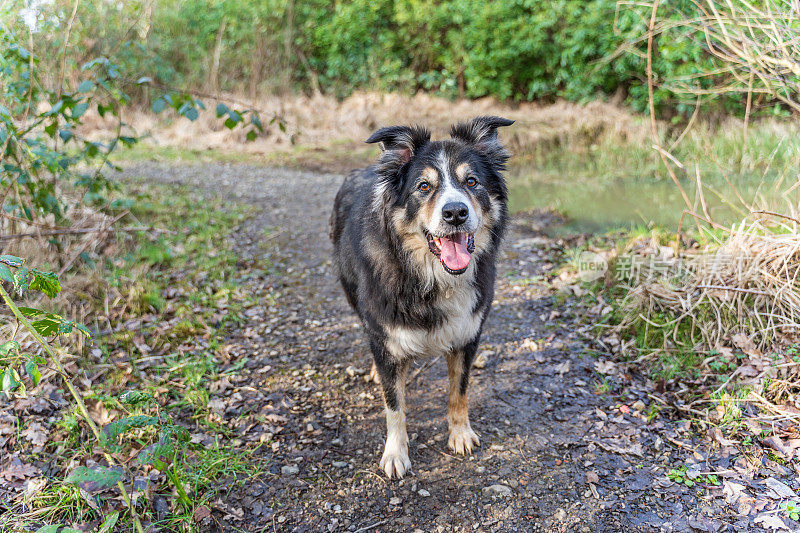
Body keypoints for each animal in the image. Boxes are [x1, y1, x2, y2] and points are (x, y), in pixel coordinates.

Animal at [330, 115, 512, 478]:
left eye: (472, 181)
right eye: (424, 186)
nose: (455, 213)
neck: (429, 276)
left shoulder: (467, 336)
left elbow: (459, 391)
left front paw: (460, 433)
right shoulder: (385, 334)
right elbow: (394, 404)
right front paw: (395, 453)